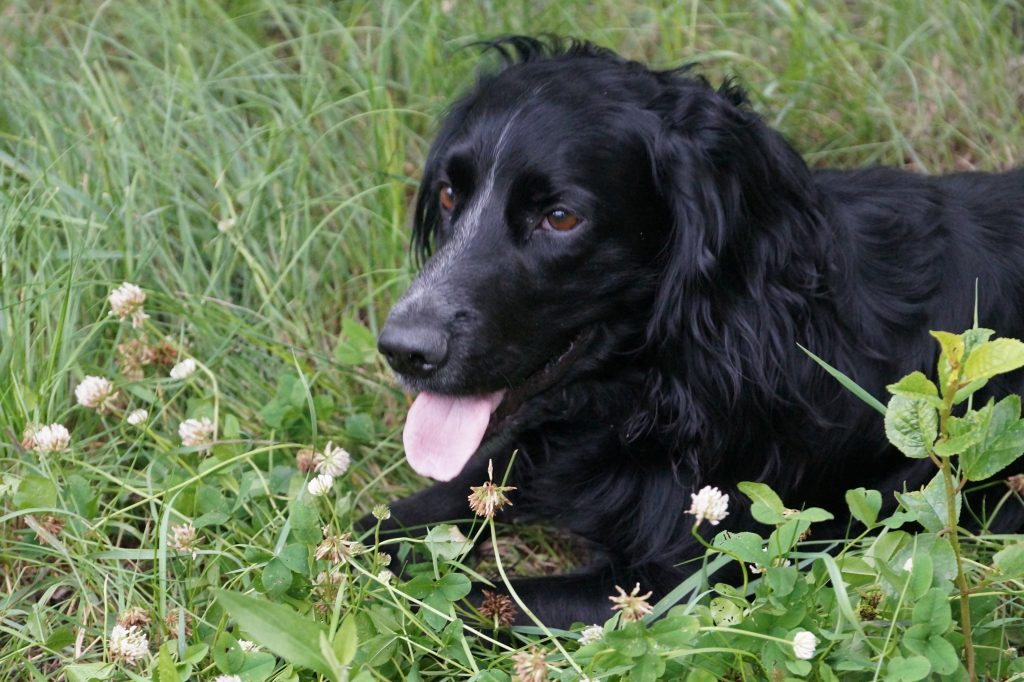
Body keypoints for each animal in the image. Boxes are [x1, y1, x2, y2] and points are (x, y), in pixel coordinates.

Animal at [374, 35, 1024, 622]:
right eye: (449, 194)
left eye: (560, 218)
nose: (403, 351)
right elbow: (401, 518)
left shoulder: (691, 577)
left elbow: (468, 604)